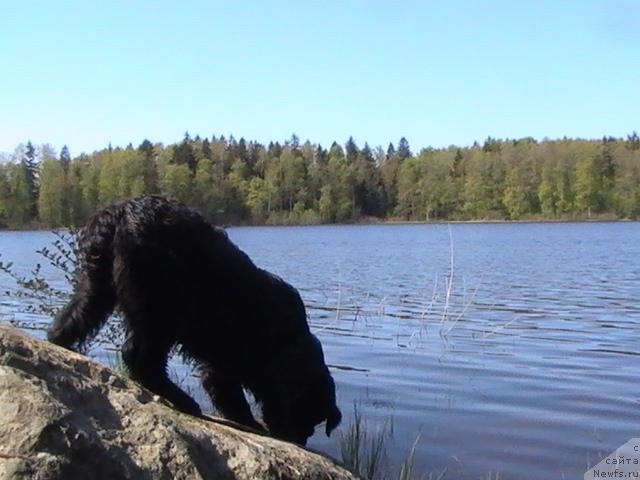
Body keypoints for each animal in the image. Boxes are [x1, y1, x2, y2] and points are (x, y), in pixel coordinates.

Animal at [47, 195, 342, 446]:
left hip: (97, 286)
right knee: (139, 358)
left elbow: (228, 396)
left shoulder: (222, 368)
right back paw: (182, 400)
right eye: (305, 415)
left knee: (71, 318)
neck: (291, 342)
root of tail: (119, 212)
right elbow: (237, 400)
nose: (299, 441)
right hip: (162, 308)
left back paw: (61, 345)